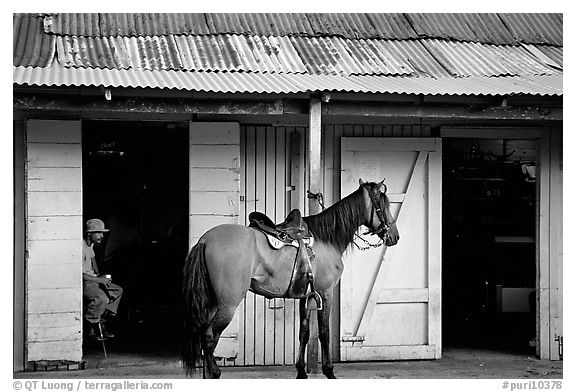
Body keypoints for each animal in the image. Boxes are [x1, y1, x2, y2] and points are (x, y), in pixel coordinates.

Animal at [182, 179, 398, 378]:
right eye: (384, 204)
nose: (394, 237)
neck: (326, 239)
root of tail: (205, 240)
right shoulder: (325, 293)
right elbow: (324, 333)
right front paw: (329, 371)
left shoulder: (305, 297)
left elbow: (304, 333)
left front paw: (301, 371)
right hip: (228, 305)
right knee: (210, 338)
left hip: (212, 304)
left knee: (205, 338)